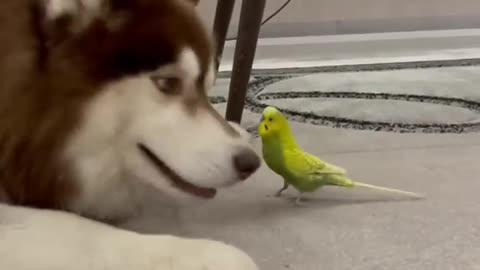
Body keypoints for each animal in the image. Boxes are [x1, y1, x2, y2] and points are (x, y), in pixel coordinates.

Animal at [0, 0, 260, 268]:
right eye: (167, 83)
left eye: (207, 89)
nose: (250, 163)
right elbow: (77, 230)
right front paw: (210, 254)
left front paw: (237, 127)